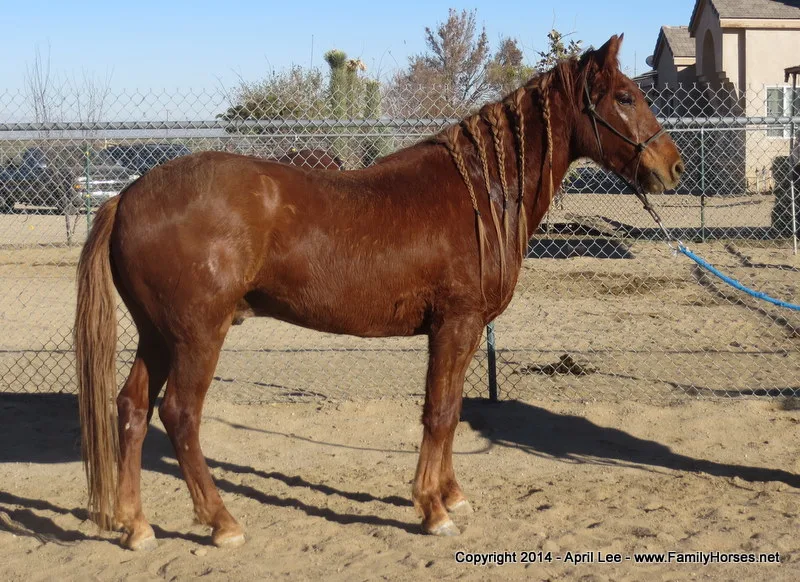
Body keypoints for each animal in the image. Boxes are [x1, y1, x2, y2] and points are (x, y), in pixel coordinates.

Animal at [75, 37, 684, 552]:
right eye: (625, 97)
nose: (671, 167)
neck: (477, 193)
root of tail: (127, 196)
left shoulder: (462, 332)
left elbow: (453, 409)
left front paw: (451, 496)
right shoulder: (455, 324)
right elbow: (438, 412)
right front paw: (432, 510)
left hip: (158, 336)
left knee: (132, 409)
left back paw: (136, 526)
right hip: (198, 335)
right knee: (180, 414)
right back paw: (222, 523)